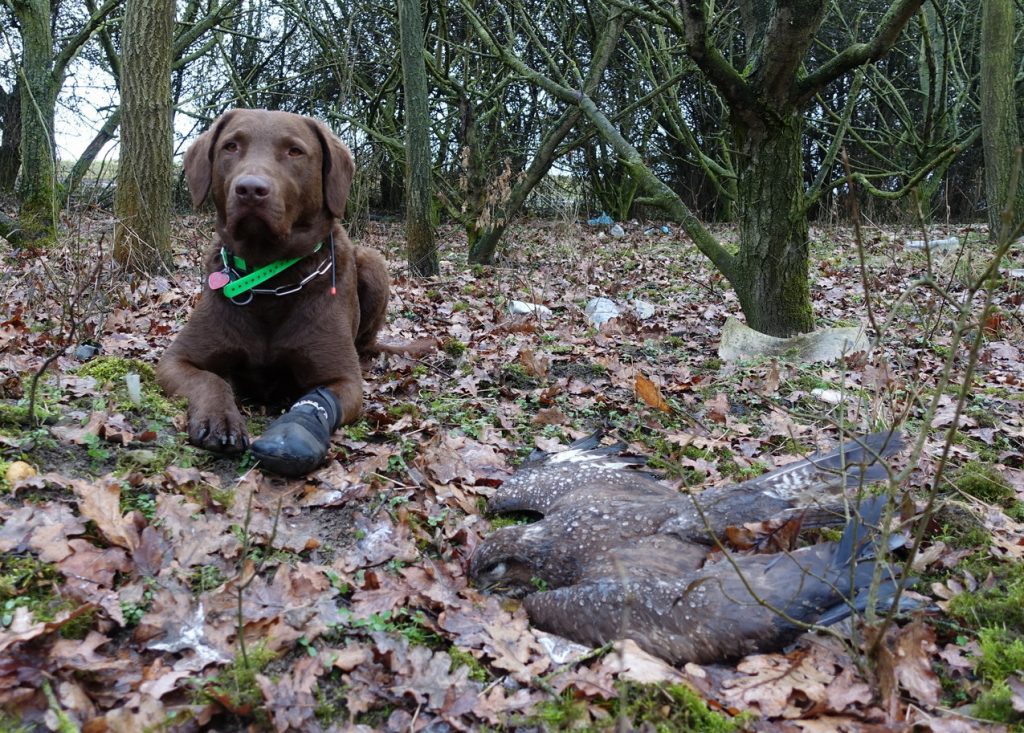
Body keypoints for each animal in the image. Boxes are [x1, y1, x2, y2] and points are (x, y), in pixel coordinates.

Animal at [157, 107, 389, 475]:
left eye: (294, 151)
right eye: (231, 146)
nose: (251, 189)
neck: (268, 281)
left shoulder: (343, 380)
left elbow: (312, 400)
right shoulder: (175, 360)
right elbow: (210, 380)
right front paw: (221, 419)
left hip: (373, 261)